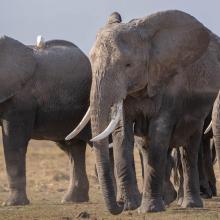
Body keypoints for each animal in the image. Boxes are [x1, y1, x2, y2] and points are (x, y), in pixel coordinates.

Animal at [67, 9, 220, 214]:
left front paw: (148, 209)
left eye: (128, 65)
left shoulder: (170, 85)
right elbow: (122, 133)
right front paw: (131, 206)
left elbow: (159, 133)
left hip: (199, 109)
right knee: (147, 146)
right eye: (91, 62)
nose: (118, 205)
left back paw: (189, 203)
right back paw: (168, 200)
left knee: (189, 148)